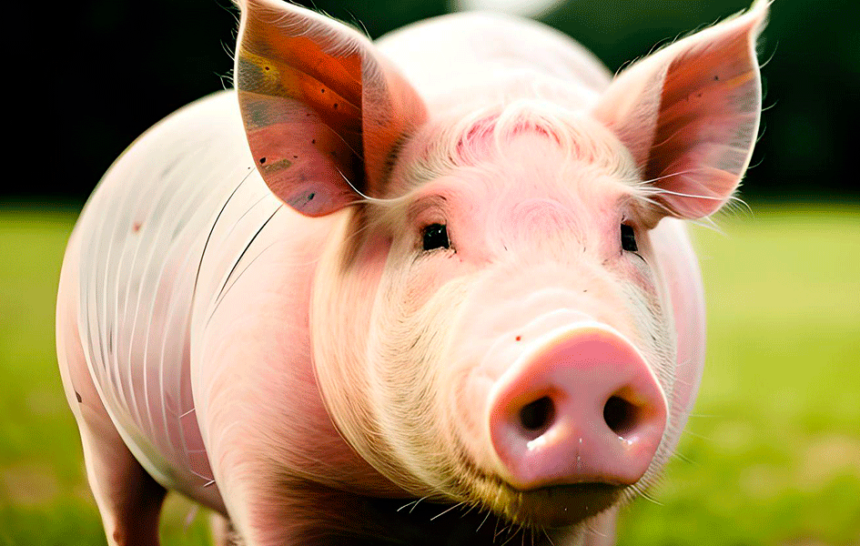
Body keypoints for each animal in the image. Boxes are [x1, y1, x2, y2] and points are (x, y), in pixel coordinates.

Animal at [56, 0, 767, 544]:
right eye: (434, 235)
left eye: (627, 235)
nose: (582, 348)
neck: (423, 508)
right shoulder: (260, 462)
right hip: (89, 405)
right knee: (124, 505)